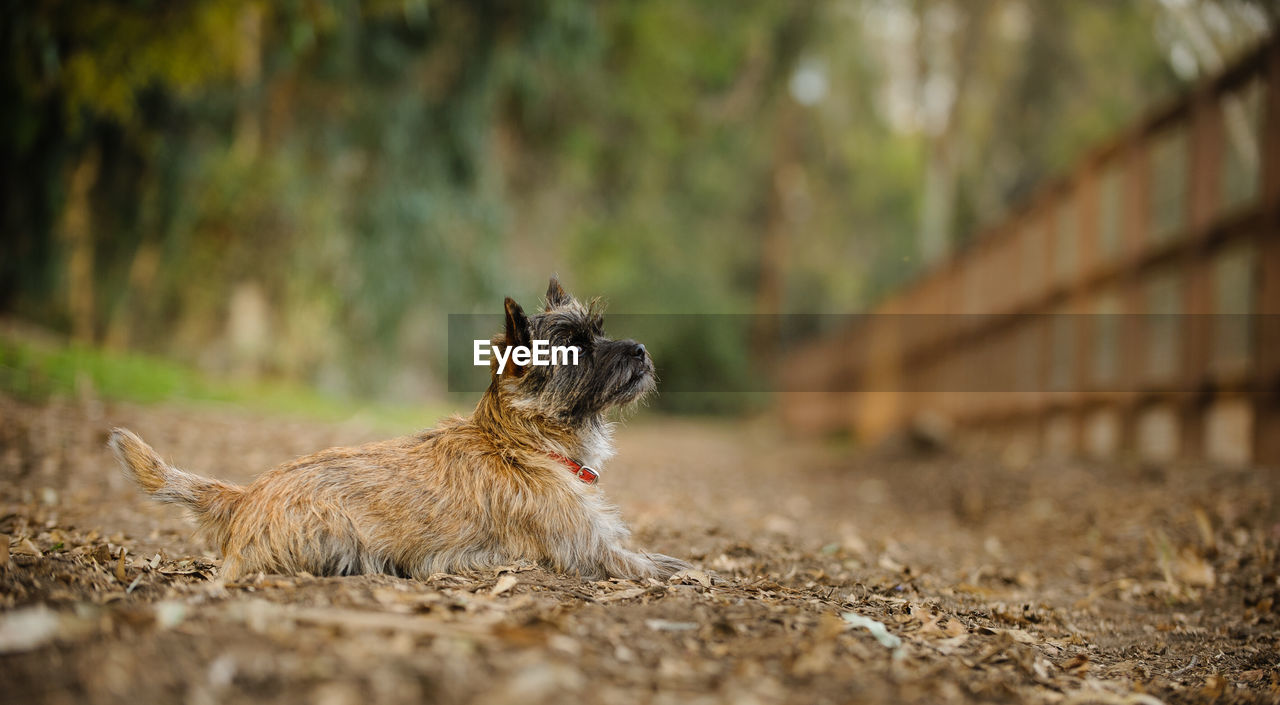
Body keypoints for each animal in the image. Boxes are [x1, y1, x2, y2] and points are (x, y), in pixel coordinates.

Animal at [110, 278, 691, 580]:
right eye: (574, 345)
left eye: (601, 330)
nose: (641, 350)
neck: (521, 442)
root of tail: (244, 495)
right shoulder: (591, 551)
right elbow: (665, 563)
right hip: (337, 532)